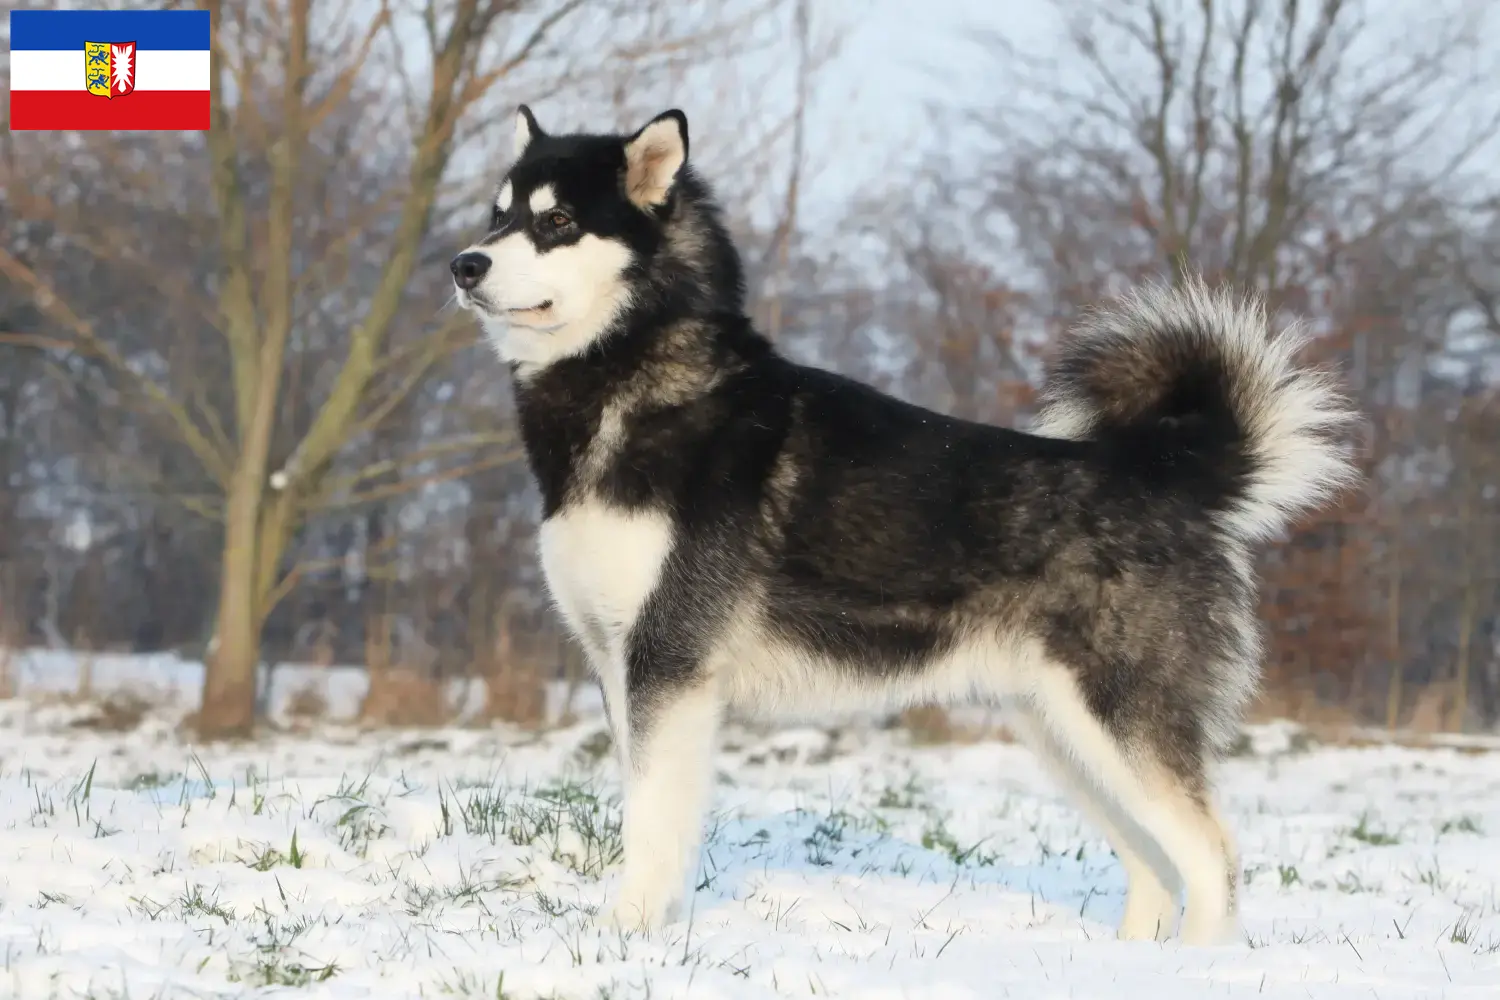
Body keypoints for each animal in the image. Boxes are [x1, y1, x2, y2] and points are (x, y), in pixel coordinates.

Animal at [444, 107, 1362, 947]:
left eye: (558, 221)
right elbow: (651, 812)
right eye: (498, 213)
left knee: (1211, 859)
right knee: (1153, 864)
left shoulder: (668, 664)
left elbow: (649, 820)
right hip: (1065, 734)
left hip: (1120, 721)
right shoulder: (618, 666)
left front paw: (627, 933)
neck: (632, 384)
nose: (464, 263)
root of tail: (1162, 476)